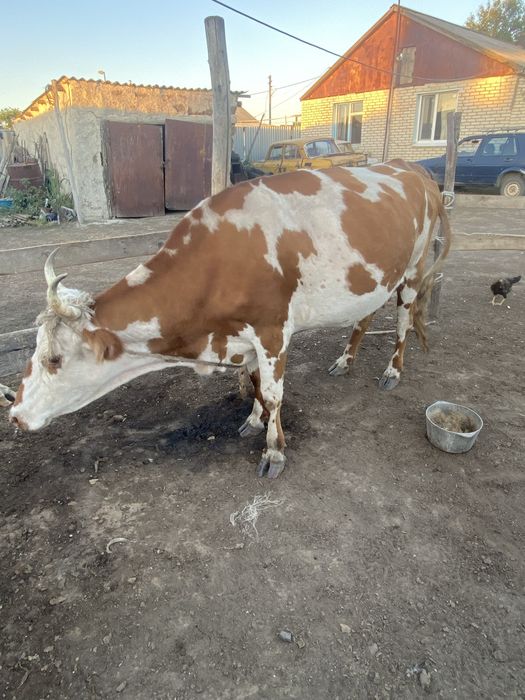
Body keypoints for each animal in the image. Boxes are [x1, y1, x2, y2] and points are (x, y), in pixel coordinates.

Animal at [9, 160, 451, 478]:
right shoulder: (244, 337)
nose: (13, 414)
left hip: (414, 269)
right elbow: (255, 384)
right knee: (366, 314)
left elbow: (273, 393)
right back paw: (345, 360)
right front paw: (254, 421)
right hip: (377, 278)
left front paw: (274, 451)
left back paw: (393, 371)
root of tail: (410, 167)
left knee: (403, 321)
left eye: (53, 359)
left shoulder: (273, 331)